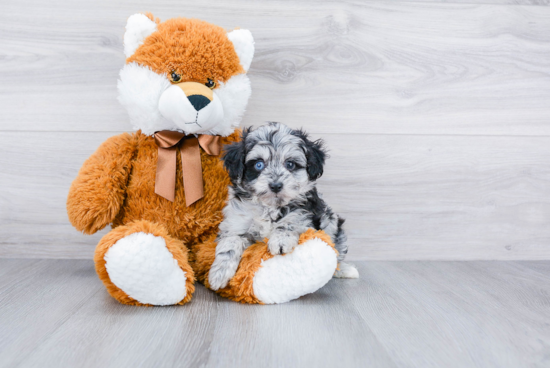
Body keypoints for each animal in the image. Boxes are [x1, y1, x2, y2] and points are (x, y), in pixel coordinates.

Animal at [209, 121, 360, 290]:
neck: (270, 206)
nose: (275, 186)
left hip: (333, 224)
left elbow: (290, 222)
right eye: (259, 164)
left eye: (290, 164)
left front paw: (281, 240)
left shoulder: (304, 213)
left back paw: (345, 270)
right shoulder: (237, 222)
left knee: (337, 253)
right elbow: (230, 243)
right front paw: (219, 274)